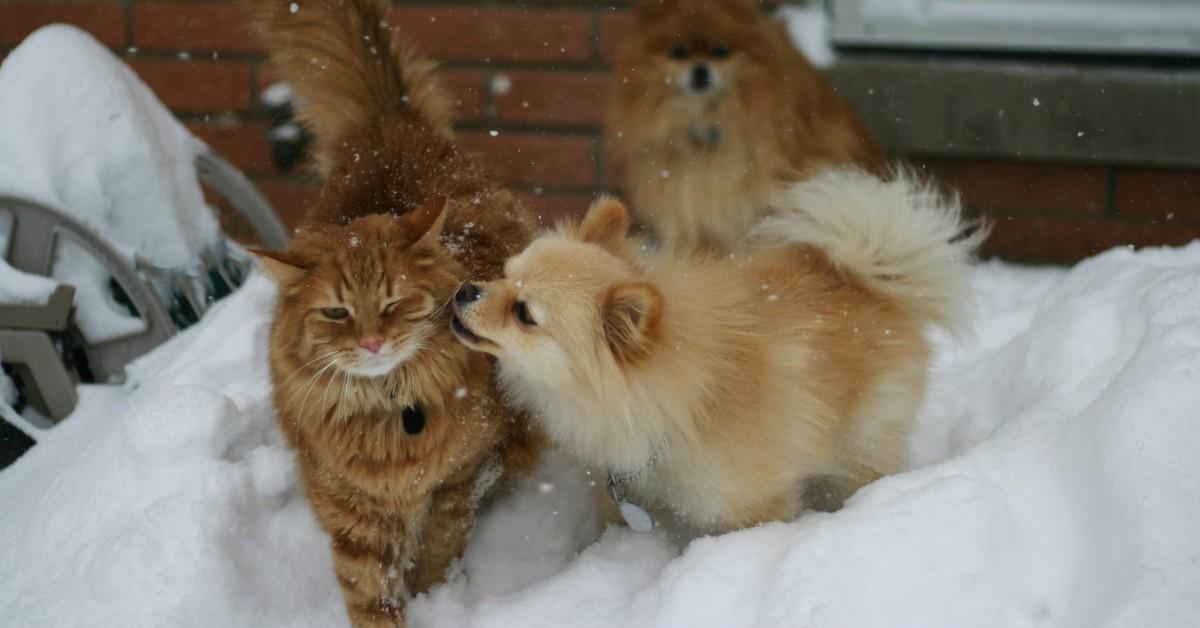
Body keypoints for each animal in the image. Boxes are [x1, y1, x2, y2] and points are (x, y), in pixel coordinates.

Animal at [241, 0, 542, 624]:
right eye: (336, 313)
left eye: (394, 303)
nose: (373, 343)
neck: (391, 413)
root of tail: (388, 123)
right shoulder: (351, 507)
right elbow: (371, 591)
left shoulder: (462, 478)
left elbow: (438, 549)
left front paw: (434, 597)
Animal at [451, 168, 984, 535]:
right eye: (503, 274)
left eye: (524, 313)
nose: (463, 291)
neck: (669, 402)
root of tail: (867, 277)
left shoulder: (750, 506)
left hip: (863, 444)